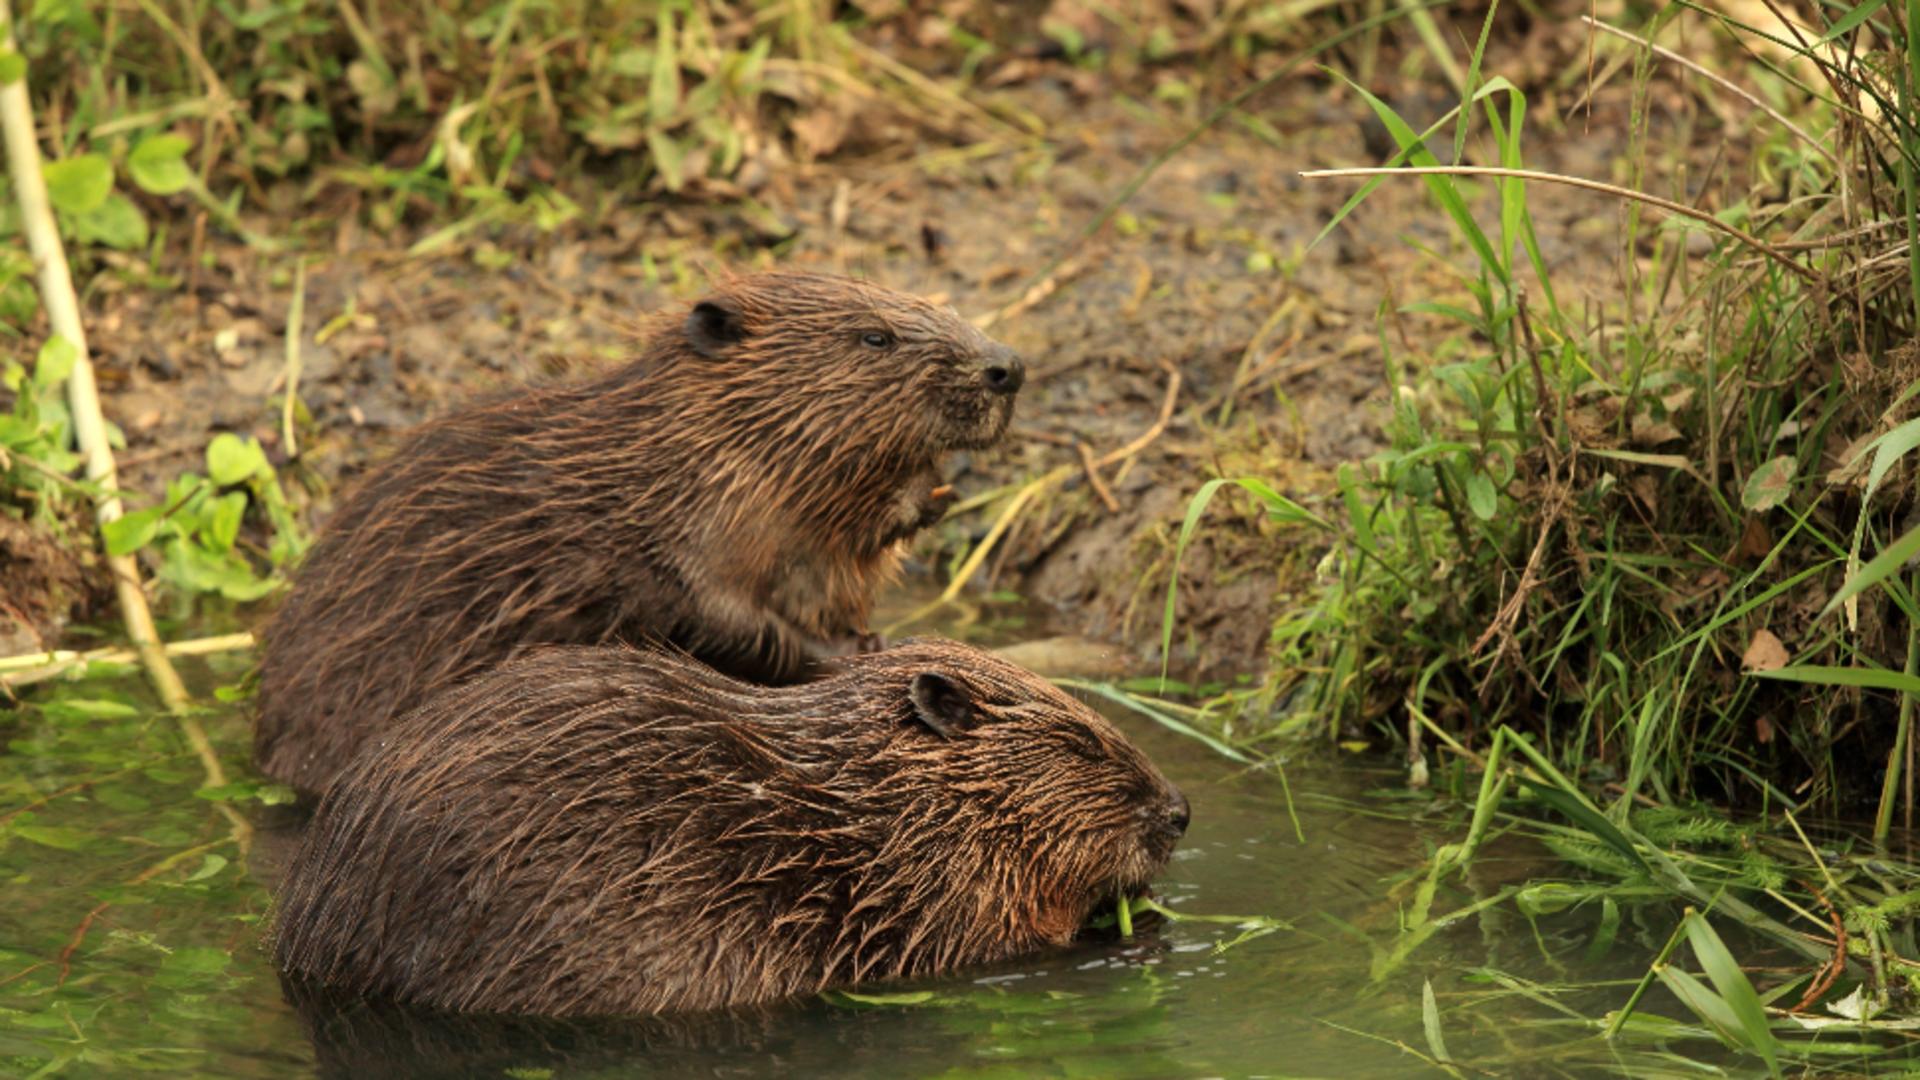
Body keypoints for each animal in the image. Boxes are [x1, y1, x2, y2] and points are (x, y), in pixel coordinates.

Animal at [266, 269, 1036, 791]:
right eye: (875, 335)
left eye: (943, 306)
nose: (1007, 366)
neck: (654, 459)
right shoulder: (669, 535)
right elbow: (721, 617)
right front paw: (863, 651)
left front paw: (927, 499)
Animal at [274, 634, 1182, 1014]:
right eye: (1081, 744)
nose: (1179, 812)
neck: (876, 798)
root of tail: (304, 942)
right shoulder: (927, 883)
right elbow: (990, 941)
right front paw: (1127, 925)